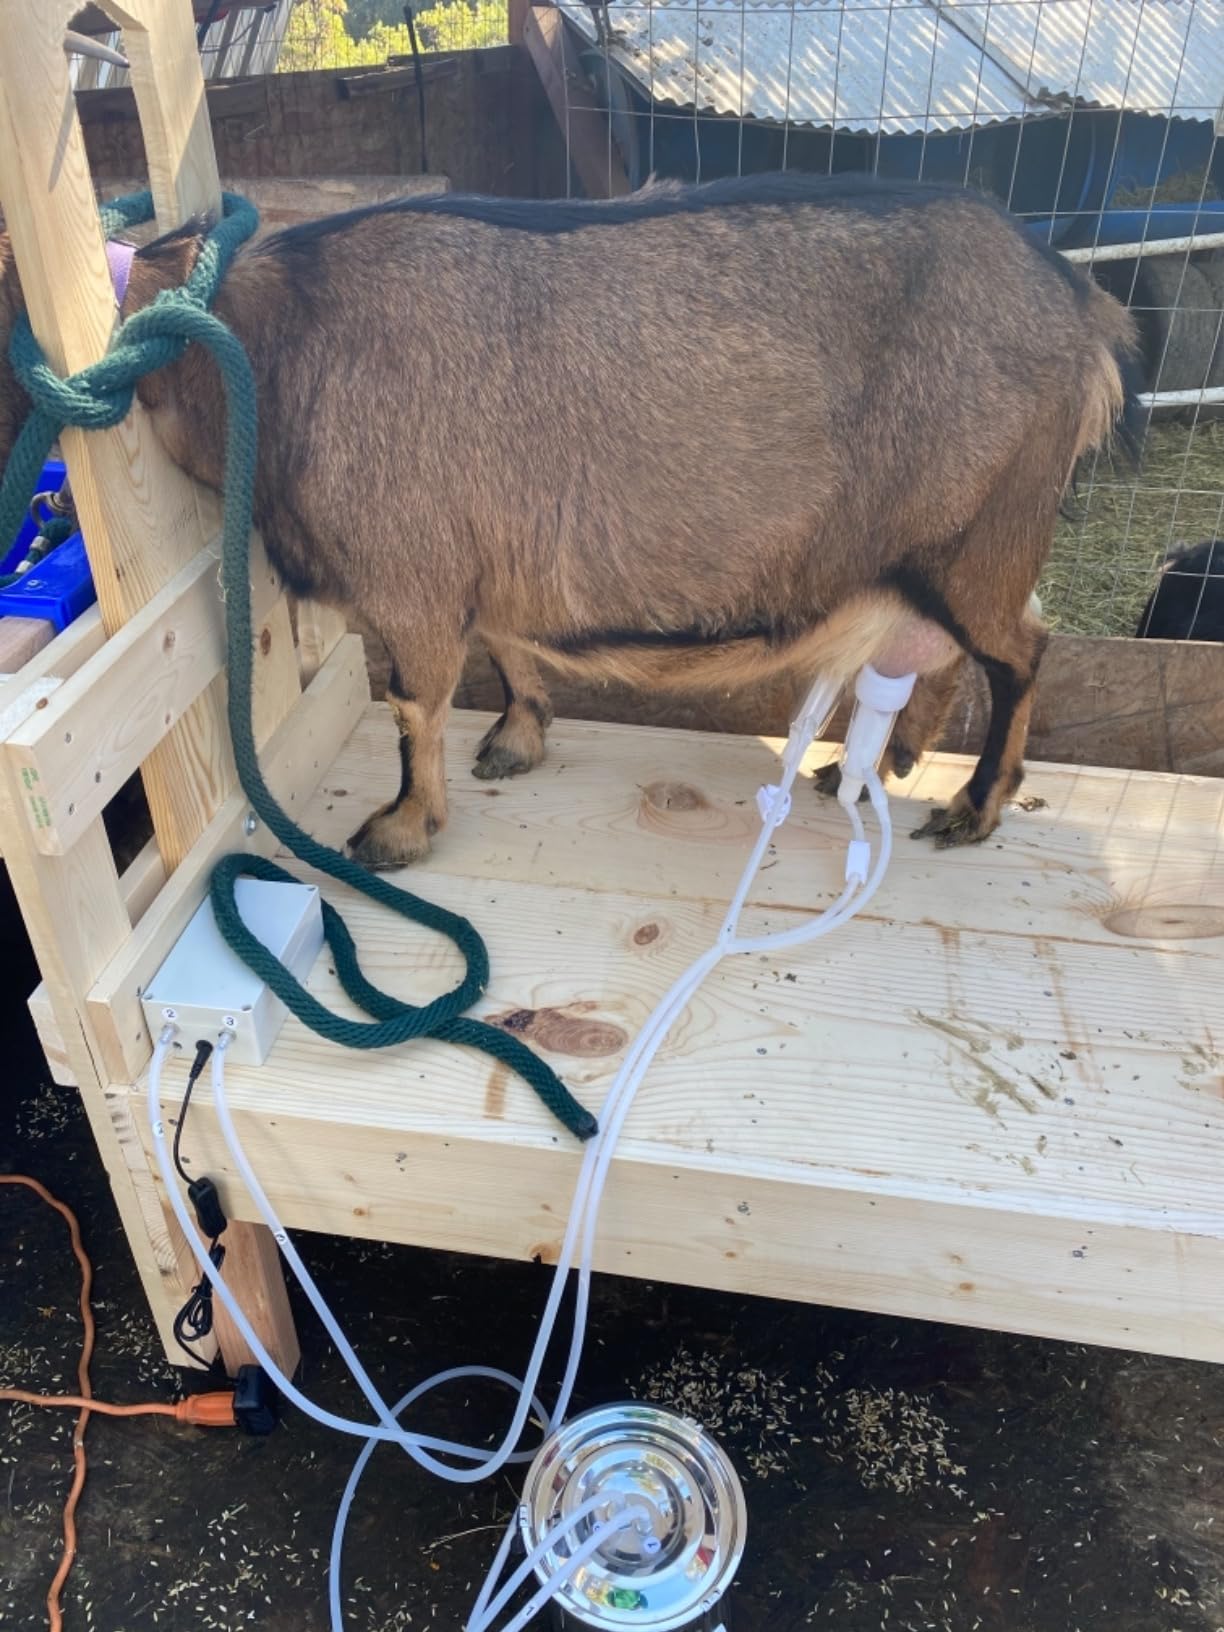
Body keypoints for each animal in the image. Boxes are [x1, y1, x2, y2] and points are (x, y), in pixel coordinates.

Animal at [0, 173, 1139, 868]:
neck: (271, 343)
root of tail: (1082, 309)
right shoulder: (488, 561)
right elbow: (506, 644)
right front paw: (517, 737)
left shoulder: (411, 581)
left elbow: (415, 708)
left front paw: (400, 830)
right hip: (947, 551)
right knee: (963, 649)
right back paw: (888, 760)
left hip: (978, 538)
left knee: (1022, 651)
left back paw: (974, 806)